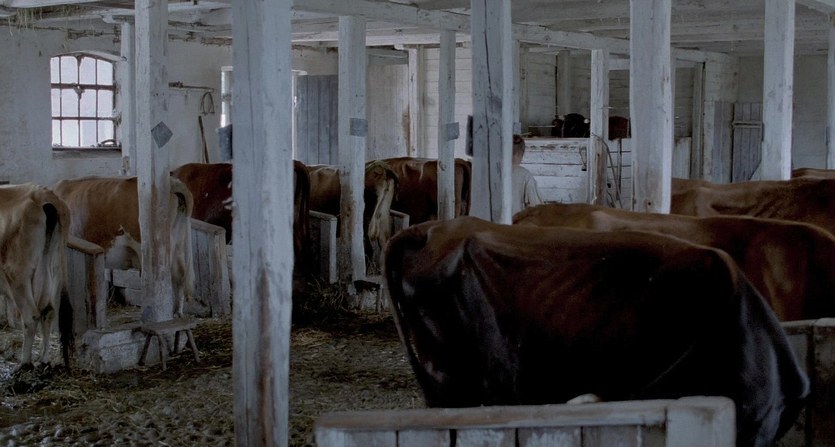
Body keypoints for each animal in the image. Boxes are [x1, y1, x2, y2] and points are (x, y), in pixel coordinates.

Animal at [0, 184, 71, 366]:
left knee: (31, 317)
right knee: (49, 312)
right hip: (55, 269)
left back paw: (25, 363)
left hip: (17, 274)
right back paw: (44, 360)